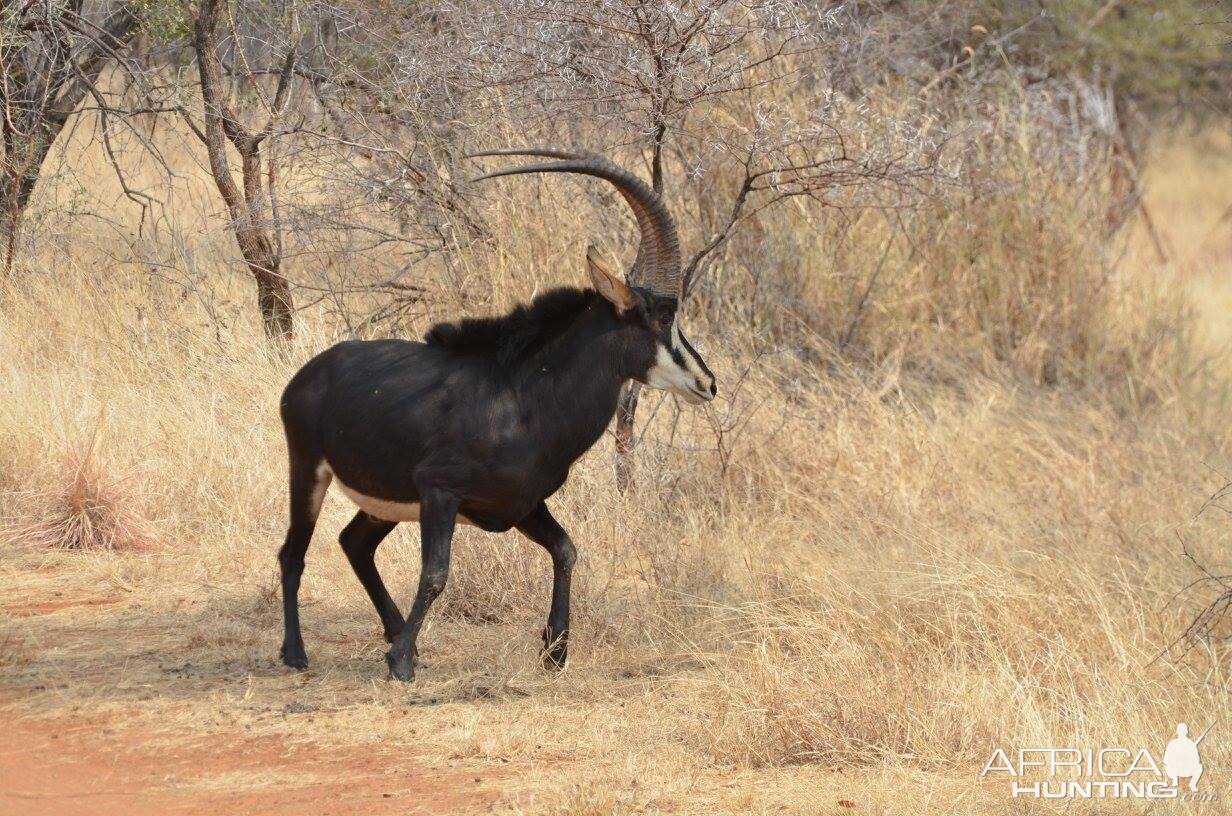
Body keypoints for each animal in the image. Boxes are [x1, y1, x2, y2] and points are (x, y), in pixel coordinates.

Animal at [272, 148, 714, 685]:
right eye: (663, 316)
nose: (707, 383)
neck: (525, 398)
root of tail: (306, 376)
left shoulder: (520, 504)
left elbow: (566, 550)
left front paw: (554, 650)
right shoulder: (440, 492)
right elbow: (436, 574)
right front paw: (401, 663)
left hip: (384, 502)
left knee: (354, 543)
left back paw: (394, 634)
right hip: (308, 472)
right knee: (293, 553)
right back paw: (298, 653)